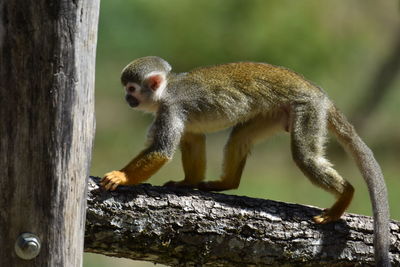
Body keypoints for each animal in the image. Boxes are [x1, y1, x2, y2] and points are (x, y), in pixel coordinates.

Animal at [101, 56, 390, 266]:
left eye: (131, 89)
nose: (127, 99)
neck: (165, 92)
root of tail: (318, 92)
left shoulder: (170, 109)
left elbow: (162, 151)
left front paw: (121, 177)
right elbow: (193, 138)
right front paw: (188, 181)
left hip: (307, 108)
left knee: (305, 156)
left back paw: (345, 195)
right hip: (276, 112)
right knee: (240, 136)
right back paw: (227, 183)